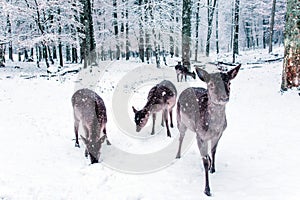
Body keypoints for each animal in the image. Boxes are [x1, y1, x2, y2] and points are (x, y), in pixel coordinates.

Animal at [176, 64, 241, 197]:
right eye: (211, 84)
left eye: (229, 83)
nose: (224, 97)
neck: (214, 127)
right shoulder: (201, 136)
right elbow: (204, 162)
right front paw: (207, 189)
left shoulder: (219, 134)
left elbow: (213, 151)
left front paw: (213, 168)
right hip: (180, 121)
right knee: (180, 137)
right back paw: (178, 156)